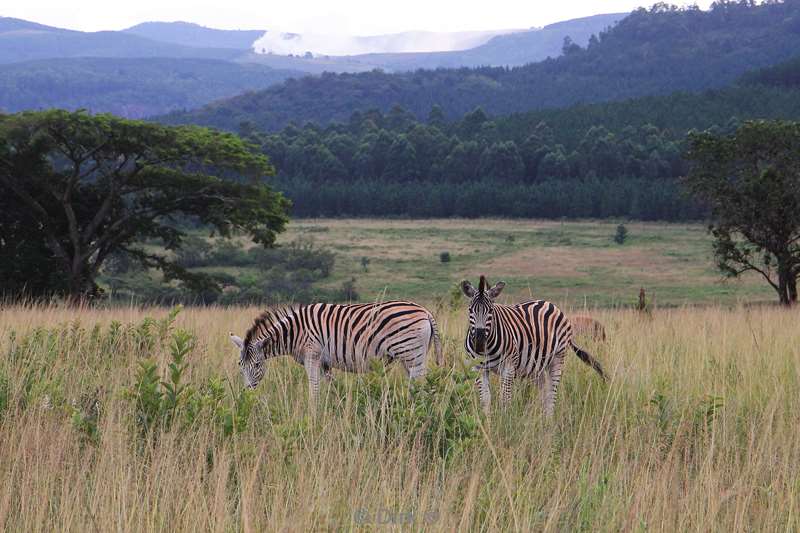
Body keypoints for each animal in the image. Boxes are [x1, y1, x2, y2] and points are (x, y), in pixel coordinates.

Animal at [228, 302, 444, 402]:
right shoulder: (325, 363)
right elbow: (330, 386)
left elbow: (314, 387)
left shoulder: (312, 356)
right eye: (240, 365)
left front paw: (313, 413)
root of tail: (425, 311)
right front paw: (334, 406)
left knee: (419, 386)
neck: (294, 332)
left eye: (257, 365)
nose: (247, 393)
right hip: (411, 357)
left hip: (412, 355)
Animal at [462, 276, 608, 414]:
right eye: (470, 310)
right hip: (536, 364)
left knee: (551, 393)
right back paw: (541, 418)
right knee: (543, 391)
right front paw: (487, 422)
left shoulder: (508, 367)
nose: (479, 341)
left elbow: (505, 399)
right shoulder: (477, 368)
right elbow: (485, 400)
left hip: (558, 356)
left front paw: (505, 421)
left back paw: (549, 420)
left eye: (491, 310)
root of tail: (549, 303)